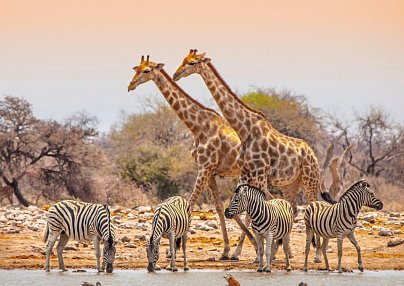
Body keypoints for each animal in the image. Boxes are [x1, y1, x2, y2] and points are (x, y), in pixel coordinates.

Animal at [172, 49, 332, 262]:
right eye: (183, 59)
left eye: (192, 63)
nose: (176, 74)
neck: (245, 129)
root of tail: (314, 155)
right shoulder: (249, 174)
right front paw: (261, 251)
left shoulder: (260, 175)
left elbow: (263, 208)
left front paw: (261, 251)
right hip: (291, 184)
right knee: (294, 207)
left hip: (310, 180)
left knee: (313, 207)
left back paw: (316, 255)